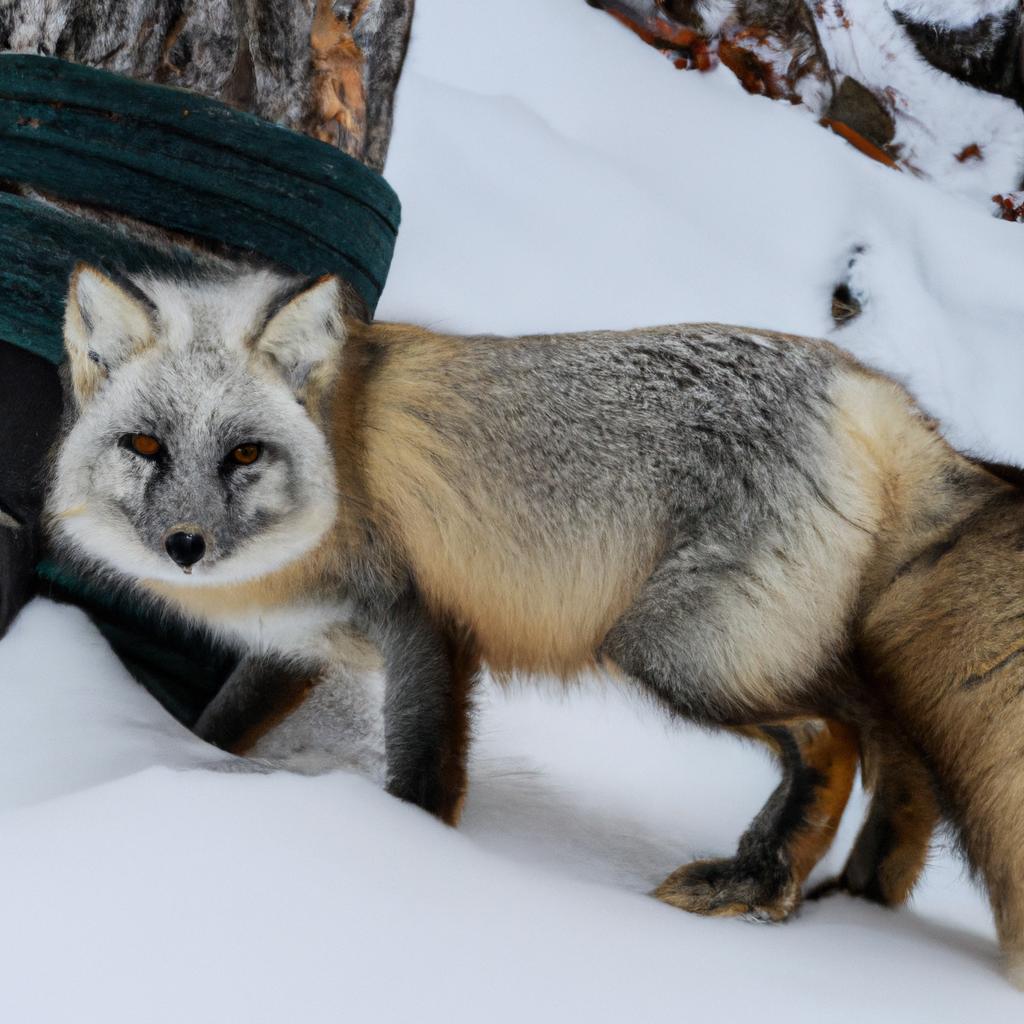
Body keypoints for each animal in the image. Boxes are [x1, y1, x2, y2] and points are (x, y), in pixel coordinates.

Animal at [46, 262, 1024, 974]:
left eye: (245, 455)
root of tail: (880, 398)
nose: (186, 546)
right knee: (905, 767)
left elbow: (425, 774)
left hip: (680, 652)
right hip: (801, 650)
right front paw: (185, 766)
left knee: (835, 742)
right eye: (145, 447)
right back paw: (844, 900)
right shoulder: (302, 644)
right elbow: (219, 727)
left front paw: (404, 863)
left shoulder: (424, 624)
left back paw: (756, 883)